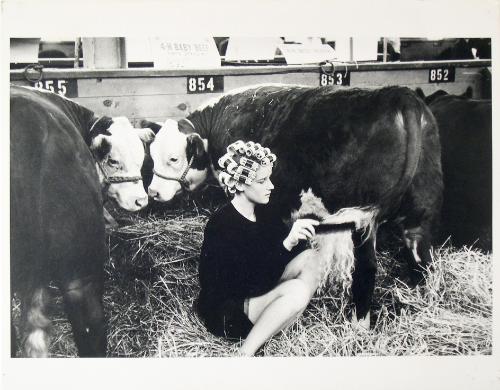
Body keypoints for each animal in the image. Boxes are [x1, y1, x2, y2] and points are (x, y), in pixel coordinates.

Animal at [146, 85, 442, 330]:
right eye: (151, 155)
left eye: (173, 158)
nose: (153, 192)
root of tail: (400, 95)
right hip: (420, 214)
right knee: (422, 260)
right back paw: (422, 305)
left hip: (364, 221)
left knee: (367, 269)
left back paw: (358, 325)